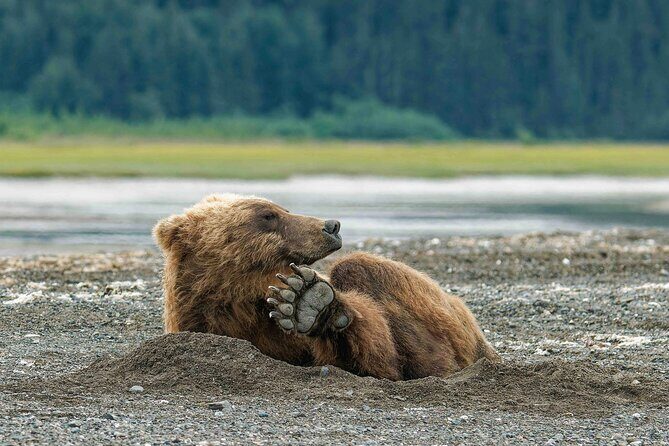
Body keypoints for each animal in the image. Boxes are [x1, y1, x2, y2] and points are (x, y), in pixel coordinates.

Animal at [153, 194, 499, 380]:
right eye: (268, 215)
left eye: (282, 208)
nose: (331, 225)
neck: (239, 297)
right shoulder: (201, 319)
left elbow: (375, 360)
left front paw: (310, 303)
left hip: (444, 311)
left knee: (359, 267)